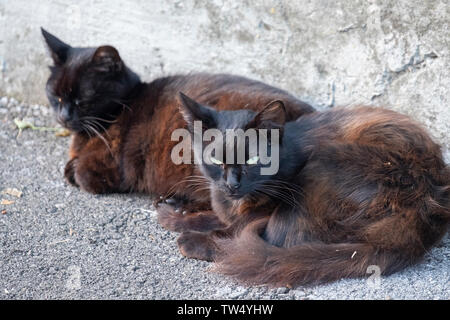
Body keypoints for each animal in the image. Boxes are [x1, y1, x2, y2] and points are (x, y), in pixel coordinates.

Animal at [43, 28, 316, 210]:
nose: (63, 117)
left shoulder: (106, 168)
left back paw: (175, 201)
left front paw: (71, 169)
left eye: (82, 100)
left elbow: (78, 172)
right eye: (56, 96)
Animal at [159, 95, 450, 288]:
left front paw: (193, 236)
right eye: (216, 159)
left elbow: (233, 227)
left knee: (277, 242)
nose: (232, 184)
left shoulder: (264, 209)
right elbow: (215, 216)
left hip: (321, 167)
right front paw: (175, 214)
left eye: (253, 159)